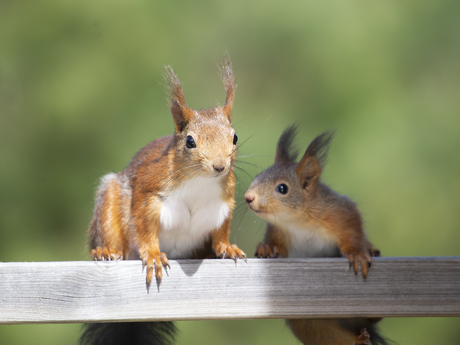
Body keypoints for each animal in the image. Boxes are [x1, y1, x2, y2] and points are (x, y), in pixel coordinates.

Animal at [82, 57, 248, 344]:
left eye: (234, 137)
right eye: (190, 141)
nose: (219, 166)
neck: (199, 182)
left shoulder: (224, 206)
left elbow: (220, 232)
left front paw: (227, 247)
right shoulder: (149, 193)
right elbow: (145, 228)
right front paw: (153, 255)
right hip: (110, 204)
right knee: (112, 236)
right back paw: (104, 252)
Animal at [244, 125, 384, 344]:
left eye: (282, 188)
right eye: (258, 177)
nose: (248, 198)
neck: (298, 221)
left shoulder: (339, 213)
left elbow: (353, 230)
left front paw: (356, 253)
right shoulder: (278, 230)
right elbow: (275, 244)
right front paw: (268, 248)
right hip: (310, 323)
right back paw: (358, 340)